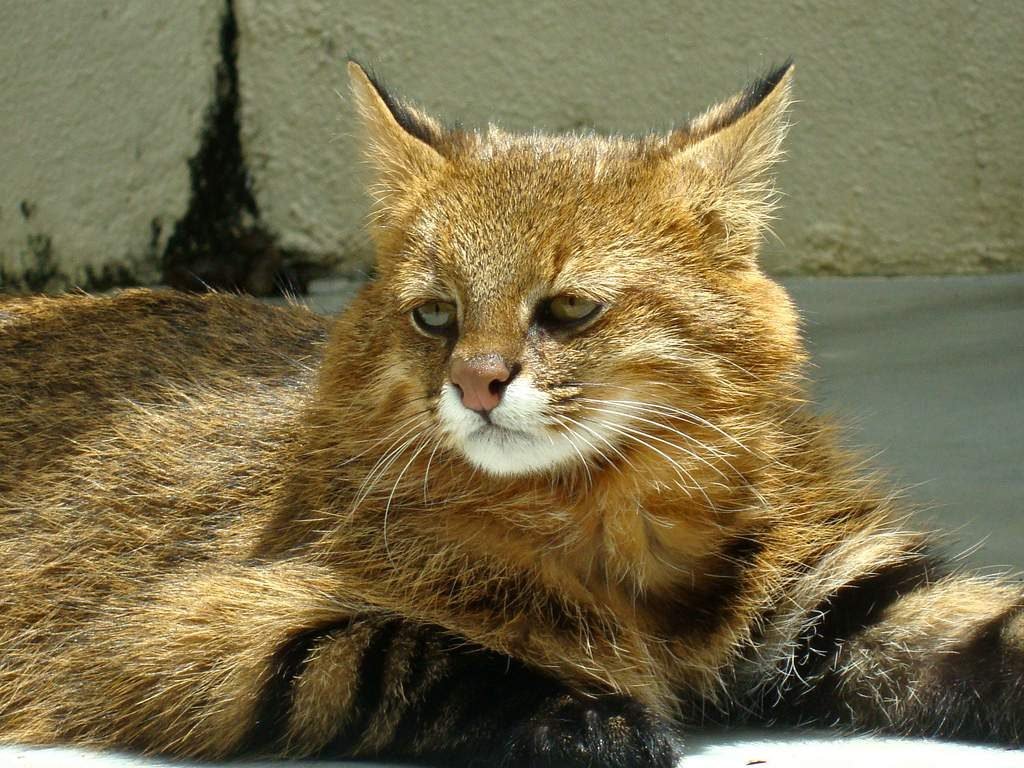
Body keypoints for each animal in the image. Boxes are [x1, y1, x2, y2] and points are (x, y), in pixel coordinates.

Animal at [2, 61, 1024, 768]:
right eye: (435, 315)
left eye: (568, 308)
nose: (476, 383)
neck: (609, 523)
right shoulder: (181, 639)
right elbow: (413, 651)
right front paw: (597, 718)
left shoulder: (843, 593)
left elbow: (988, 626)